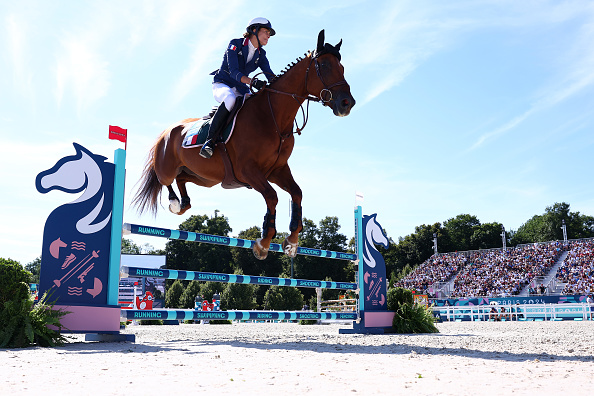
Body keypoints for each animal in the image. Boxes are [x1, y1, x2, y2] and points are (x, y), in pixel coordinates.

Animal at [132, 30, 354, 260]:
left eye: (341, 67)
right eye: (324, 66)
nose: (347, 103)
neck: (272, 117)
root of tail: (166, 132)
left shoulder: (277, 169)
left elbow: (296, 193)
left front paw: (292, 242)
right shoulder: (248, 170)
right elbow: (272, 196)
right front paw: (264, 243)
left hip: (205, 178)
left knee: (182, 178)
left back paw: (184, 203)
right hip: (168, 166)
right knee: (165, 179)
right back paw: (176, 203)